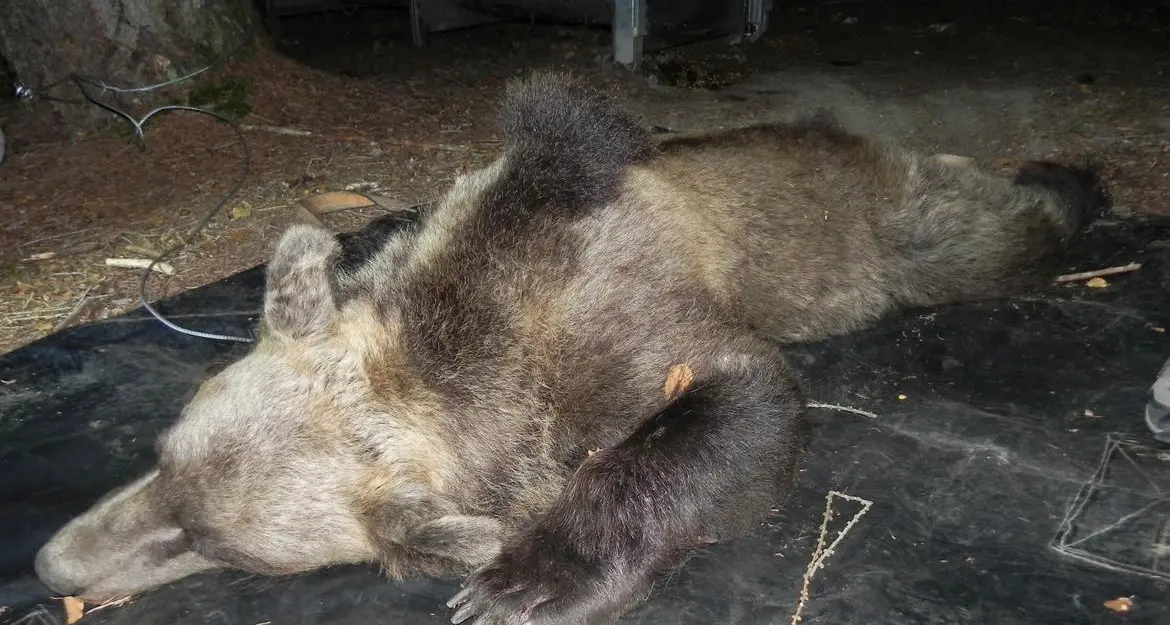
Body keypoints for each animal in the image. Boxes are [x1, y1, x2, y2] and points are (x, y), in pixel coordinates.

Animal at [34, 71, 1108, 625]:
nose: (49, 565)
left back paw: (1075, 178)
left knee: (986, 235)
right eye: (159, 457)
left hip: (895, 230)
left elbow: (740, 404)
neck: (462, 318)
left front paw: (527, 580)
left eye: (212, 543)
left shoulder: (623, 325)